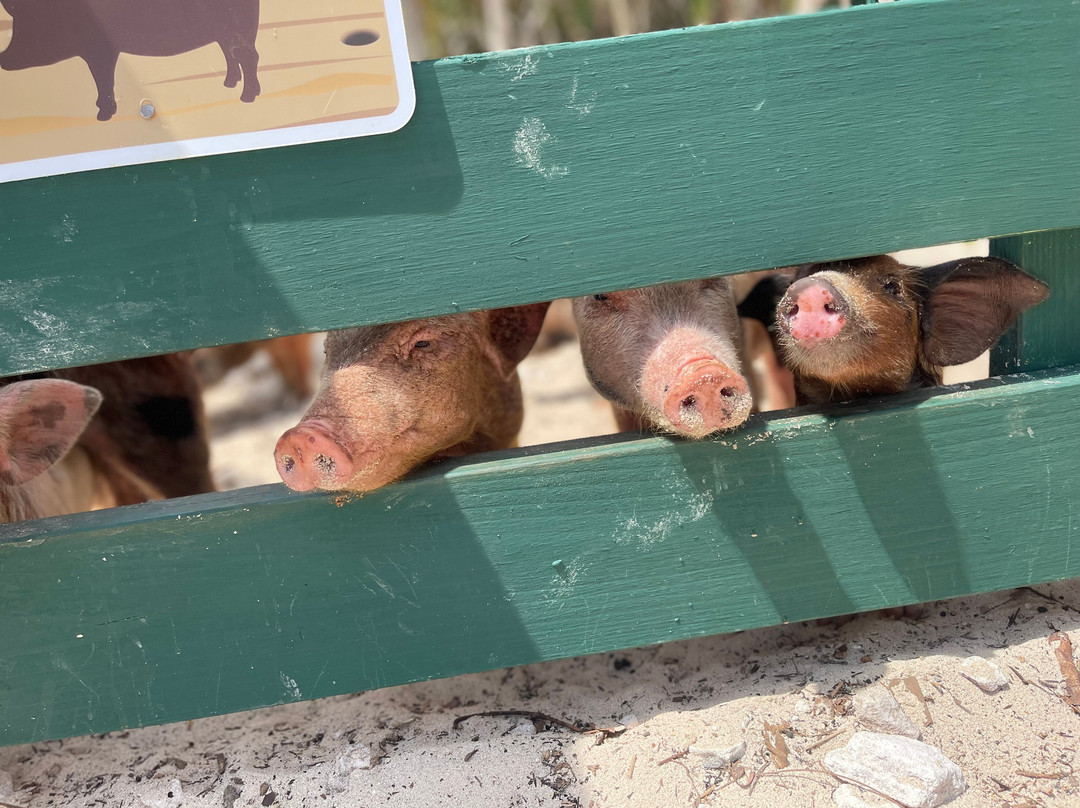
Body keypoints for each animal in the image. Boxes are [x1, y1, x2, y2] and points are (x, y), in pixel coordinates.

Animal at [0, 0, 261, 121]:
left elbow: (104, 80)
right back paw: (229, 84)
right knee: (233, 55)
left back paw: (247, 98)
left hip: (239, 31)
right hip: (225, 35)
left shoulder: (102, 52)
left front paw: (103, 115)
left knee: (250, 57)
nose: (2, 58)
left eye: (32, 29)